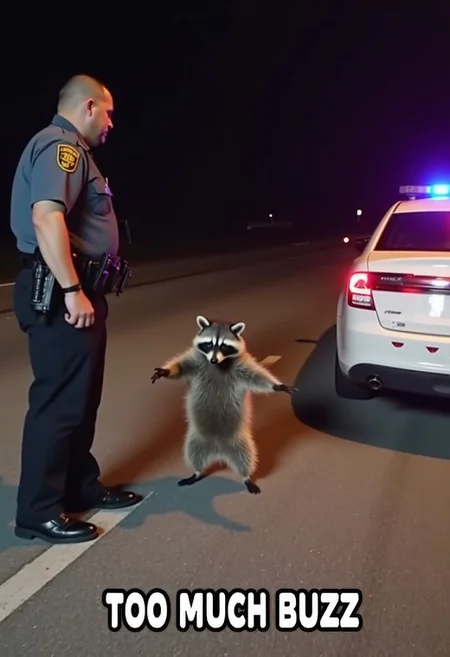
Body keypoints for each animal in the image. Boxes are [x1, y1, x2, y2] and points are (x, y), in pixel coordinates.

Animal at [151, 315, 298, 494]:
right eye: (209, 344)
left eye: (224, 346)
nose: (214, 359)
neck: (218, 364)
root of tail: (218, 451)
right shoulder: (196, 359)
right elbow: (182, 366)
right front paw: (166, 371)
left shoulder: (242, 364)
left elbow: (256, 377)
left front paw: (278, 386)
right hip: (197, 438)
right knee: (193, 453)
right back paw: (196, 472)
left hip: (239, 441)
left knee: (246, 457)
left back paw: (246, 477)